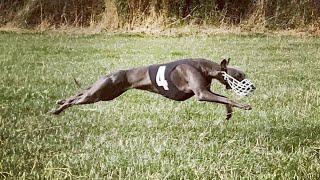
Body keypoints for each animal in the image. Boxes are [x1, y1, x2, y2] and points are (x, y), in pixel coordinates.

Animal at [50, 58, 255, 119]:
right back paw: (58, 109)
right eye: (240, 76)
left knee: (78, 95)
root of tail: (111, 74)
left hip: (105, 94)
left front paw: (229, 113)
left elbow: (224, 99)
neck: (203, 67)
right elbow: (226, 97)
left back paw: (60, 102)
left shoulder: (206, 91)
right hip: (98, 93)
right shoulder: (202, 94)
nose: (253, 86)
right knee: (77, 99)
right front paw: (244, 106)